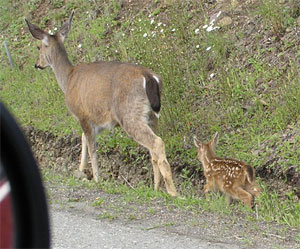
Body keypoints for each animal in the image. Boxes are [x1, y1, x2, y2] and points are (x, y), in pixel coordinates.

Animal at [25, 11, 177, 196]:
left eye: (39, 47)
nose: (37, 64)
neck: (68, 79)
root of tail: (149, 77)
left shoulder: (82, 114)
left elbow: (92, 147)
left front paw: (96, 178)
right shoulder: (97, 121)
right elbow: (84, 139)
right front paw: (81, 171)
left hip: (129, 114)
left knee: (156, 143)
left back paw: (173, 192)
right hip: (151, 116)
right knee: (153, 149)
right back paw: (155, 188)